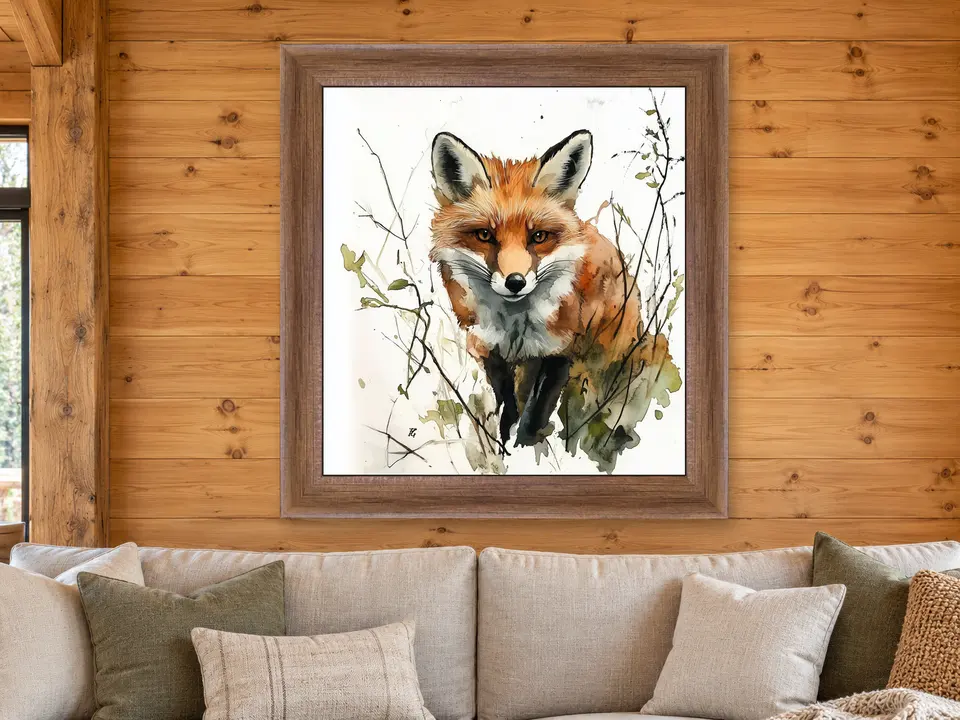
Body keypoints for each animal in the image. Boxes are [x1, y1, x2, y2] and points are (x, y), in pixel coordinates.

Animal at [429, 129, 643, 448]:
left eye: (539, 237)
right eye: (485, 235)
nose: (515, 282)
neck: (514, 326)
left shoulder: (560, 349)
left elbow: (534, 416)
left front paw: (525, 447)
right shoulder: (489, 350)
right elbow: (507, 408)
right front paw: (504, 444)